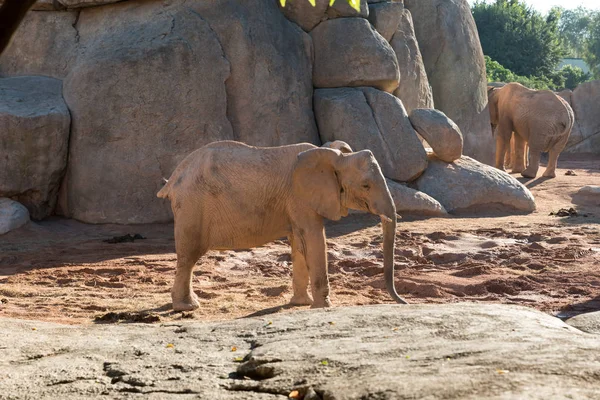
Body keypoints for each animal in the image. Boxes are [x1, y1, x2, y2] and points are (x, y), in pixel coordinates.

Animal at [157, 141, 408, 312]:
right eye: (366, 185)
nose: (404, 301)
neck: (331, 157)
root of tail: (175, 176)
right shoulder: (301, 197)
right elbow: (315, 238)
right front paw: (323, 307)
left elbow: (299, 243)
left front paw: (301, 303)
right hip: (192, 205)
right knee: (189, 255)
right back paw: (188, 307)